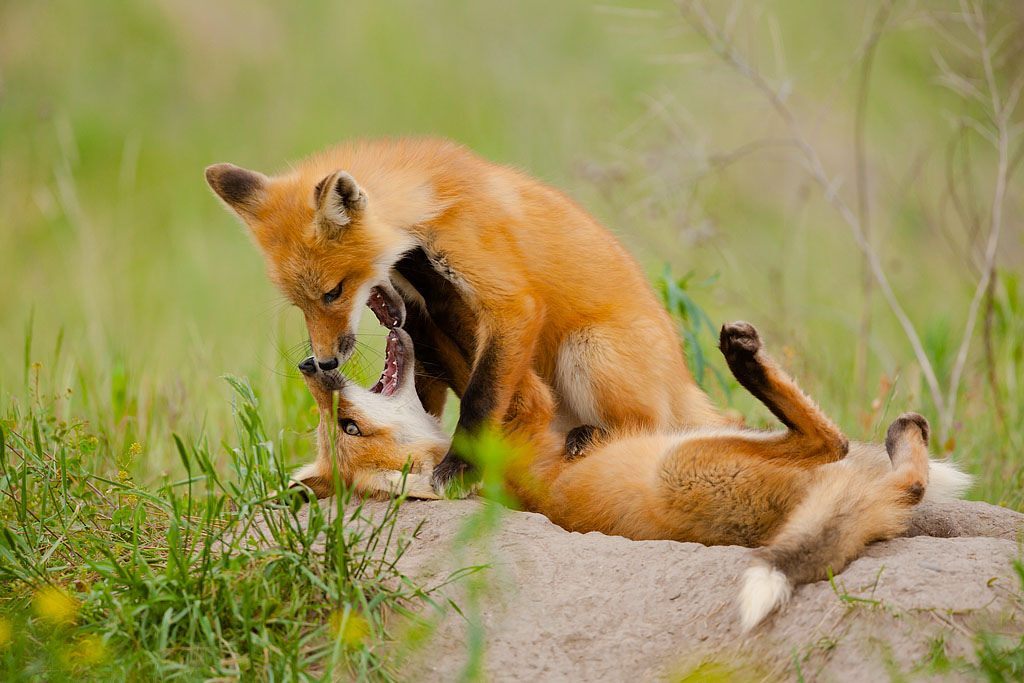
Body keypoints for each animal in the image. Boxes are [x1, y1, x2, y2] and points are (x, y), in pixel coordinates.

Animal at [201, 139, 729, 491]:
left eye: (334, 292)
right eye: (301, 303)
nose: (324, 362)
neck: (428, 204)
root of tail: (683, 378)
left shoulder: (509, 302)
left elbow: (480, 395)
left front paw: (458, 465)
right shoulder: (416, 318)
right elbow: (423, 394)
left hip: (589, 350)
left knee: (648, 427)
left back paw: (592, 435)